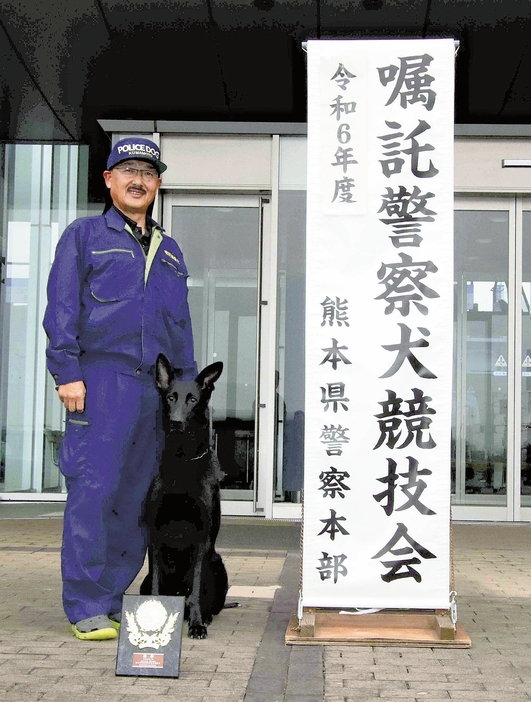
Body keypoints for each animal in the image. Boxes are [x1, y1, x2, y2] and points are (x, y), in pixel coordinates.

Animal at [142, 354, 230, 640]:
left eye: (192, 399)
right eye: (171, 397)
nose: (176, 422)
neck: (183, 460)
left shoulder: (203, 539)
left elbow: (196, 588)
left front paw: (197, 624)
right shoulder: (154, 536)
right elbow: (156, 585)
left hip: (217, 563)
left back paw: (204, 616)